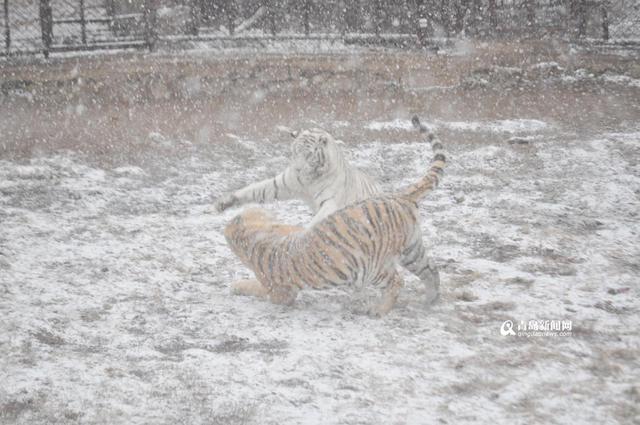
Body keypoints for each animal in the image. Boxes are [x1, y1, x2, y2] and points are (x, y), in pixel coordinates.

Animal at [218, 126, 382, 225]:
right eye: (295, 152)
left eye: (308, 155)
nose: (297, 169)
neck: (310, 180)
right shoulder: (282, 184)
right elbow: (256, 189)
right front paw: (225, 202)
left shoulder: (330, 202)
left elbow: (318, 220)